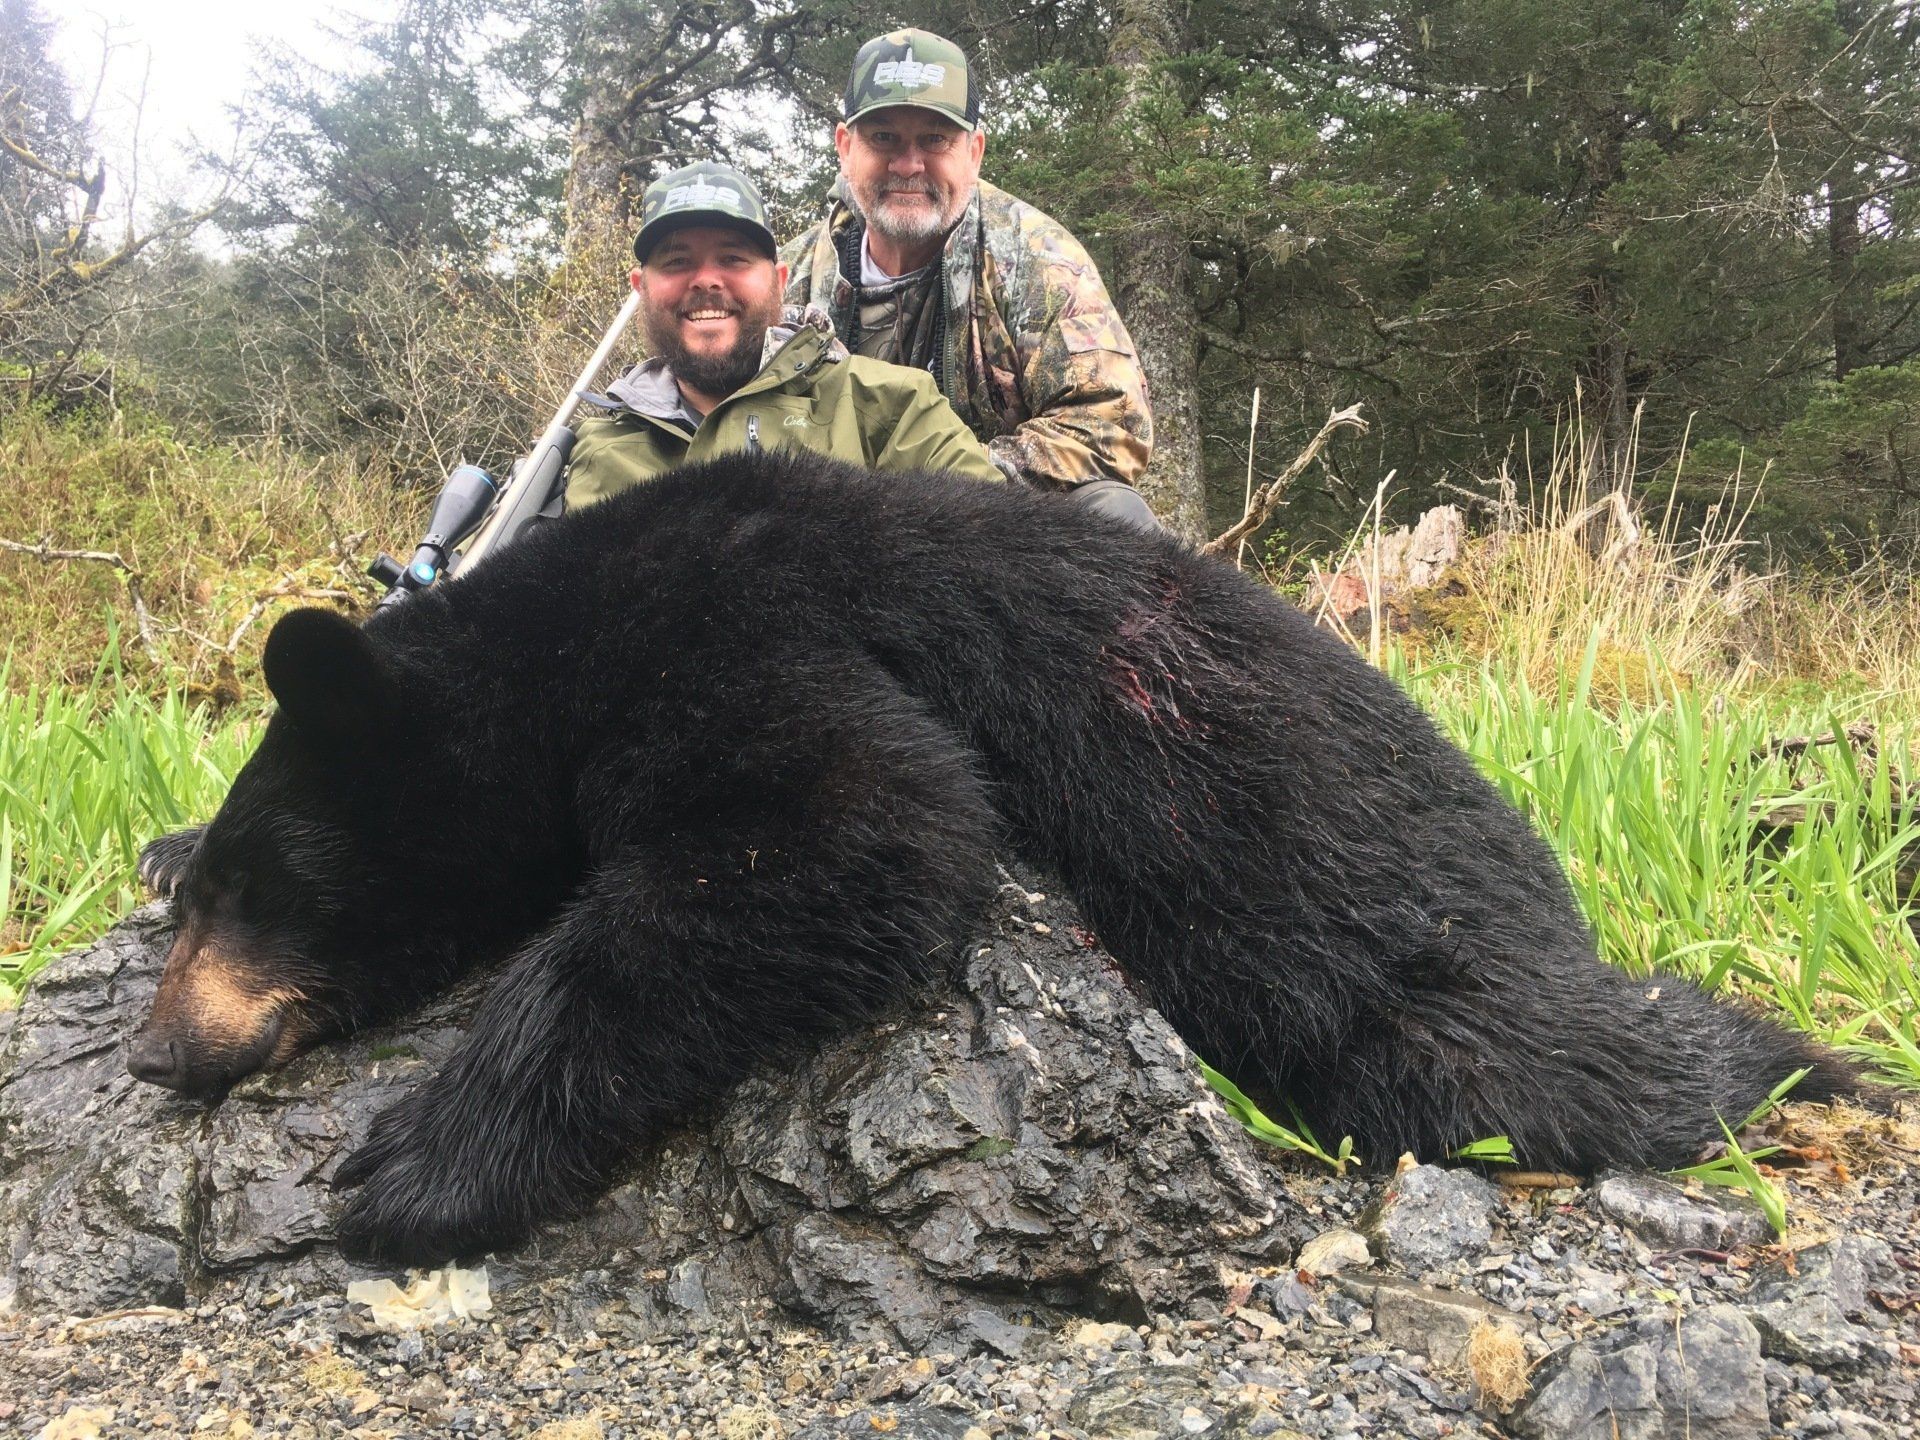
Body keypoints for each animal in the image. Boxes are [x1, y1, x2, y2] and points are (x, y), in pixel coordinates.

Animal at [127, 452, 1858, 1267]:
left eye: (259, 893)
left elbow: (857, 826)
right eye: (206, 894)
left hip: (1366, 934)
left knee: (1526, 1056)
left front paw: (420, 1160)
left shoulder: (740, 629)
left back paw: (1790, 1059)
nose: (153, 1051)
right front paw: (149, 834)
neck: (551, 643)